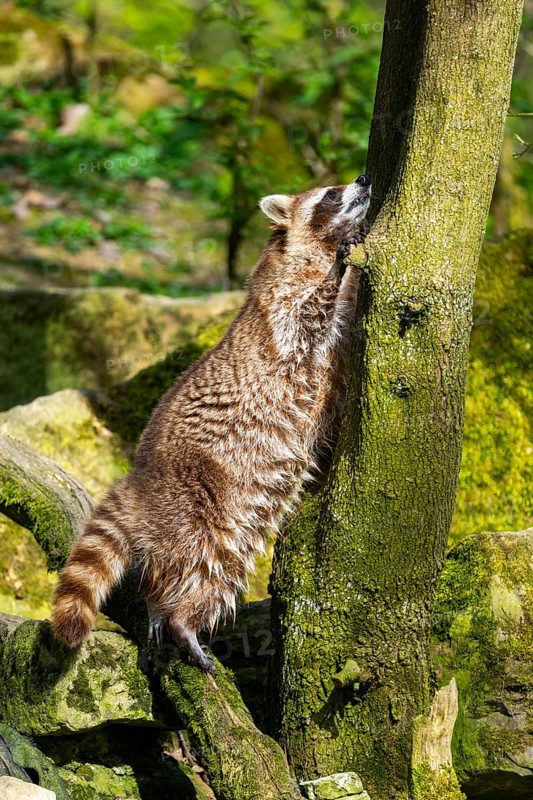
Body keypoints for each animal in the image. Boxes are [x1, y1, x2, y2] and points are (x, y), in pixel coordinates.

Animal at [51, 174, 372, 676]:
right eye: (330, 195)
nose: (363, 179)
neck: (311, 248)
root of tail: (139, 482)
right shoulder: (280, 309)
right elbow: (307, 317)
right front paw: (338, 271)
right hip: (197, 503)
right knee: (197, 562)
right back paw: (179, 618)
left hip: (235, 523)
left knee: (220, 573)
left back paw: (176, 613)